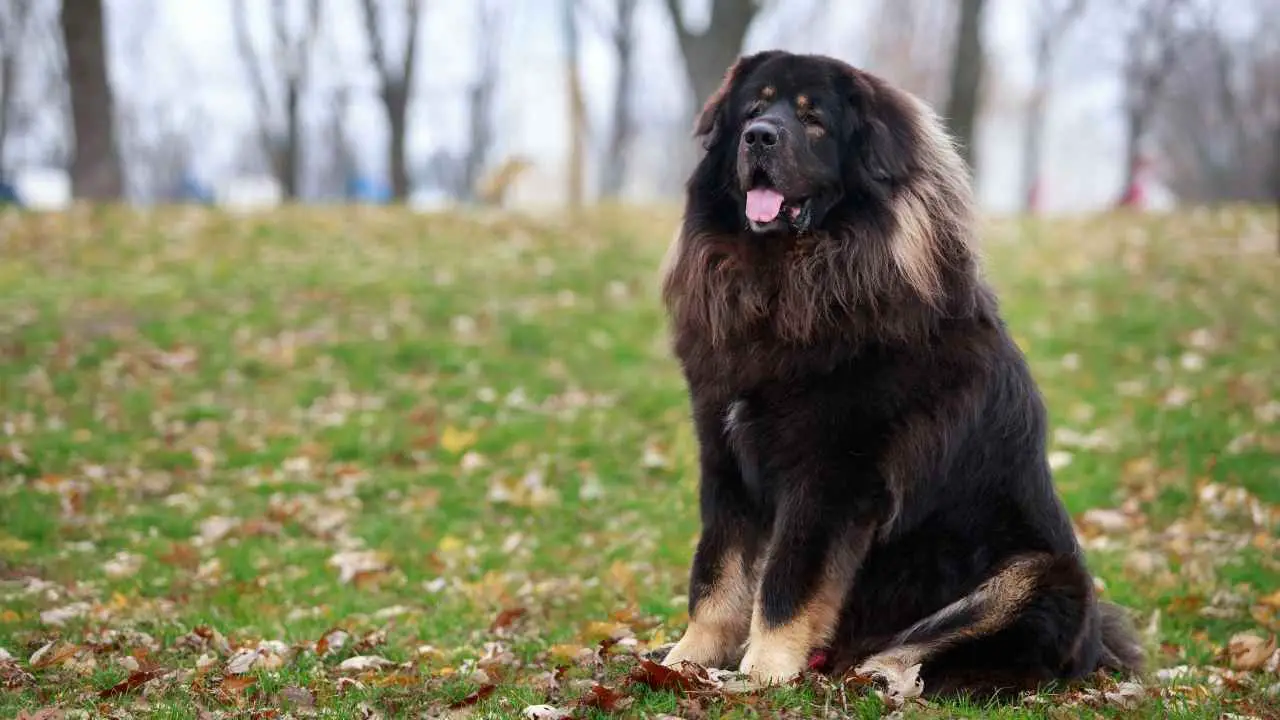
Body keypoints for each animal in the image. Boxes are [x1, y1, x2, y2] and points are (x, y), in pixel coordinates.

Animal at [655, 51, 1146, 702]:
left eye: (813, 121)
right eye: (753, 110)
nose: (759, 137)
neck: (786, 279)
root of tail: (1095, 654)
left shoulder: (831, 475)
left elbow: (785, 583)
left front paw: (762, 672)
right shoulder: (724, 454)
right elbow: (715, 574)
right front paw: (684, 661)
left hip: (1040, 576)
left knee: (925, 649)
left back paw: (874, 672)